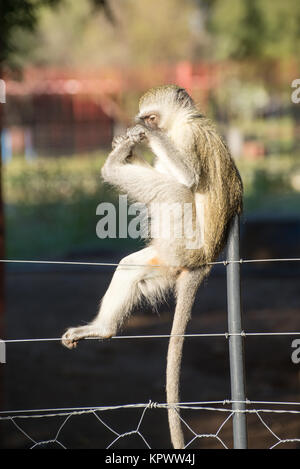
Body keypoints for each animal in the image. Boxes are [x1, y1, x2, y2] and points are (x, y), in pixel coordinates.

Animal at [62, 86, 243, 448]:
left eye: (152, 117)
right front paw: (126, 142)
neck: (183, 122)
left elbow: (188, 176)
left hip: (184, 239)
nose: (146, 125)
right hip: (170, 256)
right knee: (130, 265)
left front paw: (140, 136)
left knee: (174, 187)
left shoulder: (188, 136)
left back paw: (112, 165)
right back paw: (102, 329)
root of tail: (205, 260)